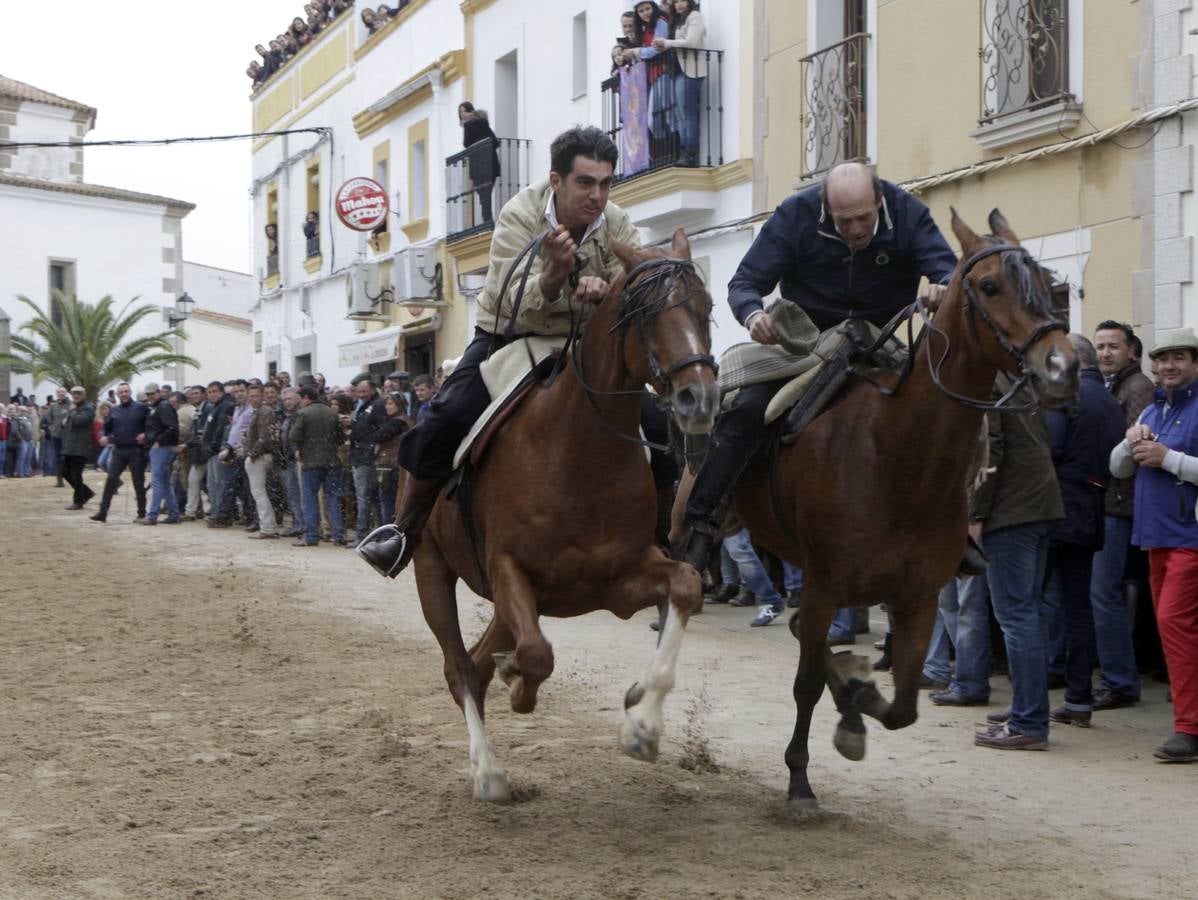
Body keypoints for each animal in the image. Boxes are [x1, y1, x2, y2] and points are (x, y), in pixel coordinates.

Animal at [412, 226, 714, 800]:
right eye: (645, 313)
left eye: (707, 307)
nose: (699, 399)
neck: (578, 453)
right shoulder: (509, 570)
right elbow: (537, 655)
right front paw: (520, 687)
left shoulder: (620, 580)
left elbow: (686, 585)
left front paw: (642, 722)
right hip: (432, 569)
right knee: (459, 667)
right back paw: (487, 771)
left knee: (478, 663)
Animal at [670, 207, 1082, 814]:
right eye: (990, 286)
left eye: (1046, 282)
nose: (1062, 367)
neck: (898, 458)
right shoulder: (824, 584)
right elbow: (806, 685)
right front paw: (800, 780)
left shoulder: (918, 597)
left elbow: (902, 706)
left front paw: (856, 701)